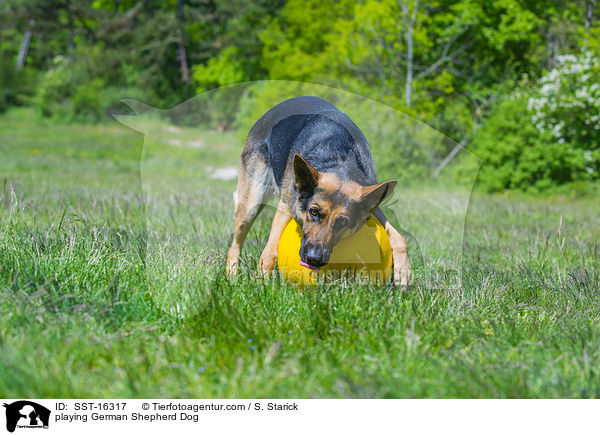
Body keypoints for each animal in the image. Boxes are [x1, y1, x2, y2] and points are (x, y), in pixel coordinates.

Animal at [226, 96, 412, 286]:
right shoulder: (286, 206)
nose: (313, 259)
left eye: (342, 222)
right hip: (251, 204)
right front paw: (262, 281)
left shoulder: (373, 207)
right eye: (313, 212)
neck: (339, 161)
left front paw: (403, 271)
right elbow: (270, 250)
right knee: (234, 246)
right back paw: (232, 276)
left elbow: (398, 236)